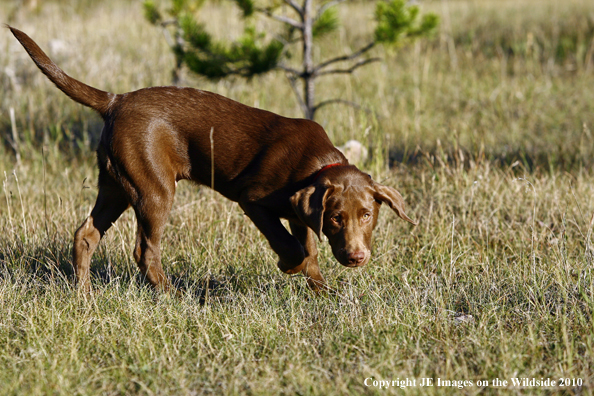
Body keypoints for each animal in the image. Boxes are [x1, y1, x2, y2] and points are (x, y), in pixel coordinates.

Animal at [10, 25, 416, 290]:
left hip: (116, 183)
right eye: (336, 217)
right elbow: (291, 246)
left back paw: (84, 296)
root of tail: (115, 100)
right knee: (144, 250)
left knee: (86, 234)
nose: (356, 257)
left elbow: (310, 249)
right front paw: (290, 266)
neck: (316, 164)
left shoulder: (301, 212)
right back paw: (170, 295)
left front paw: (324, 293)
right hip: (152, 188)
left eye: (366, 215)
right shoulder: (253, 200)